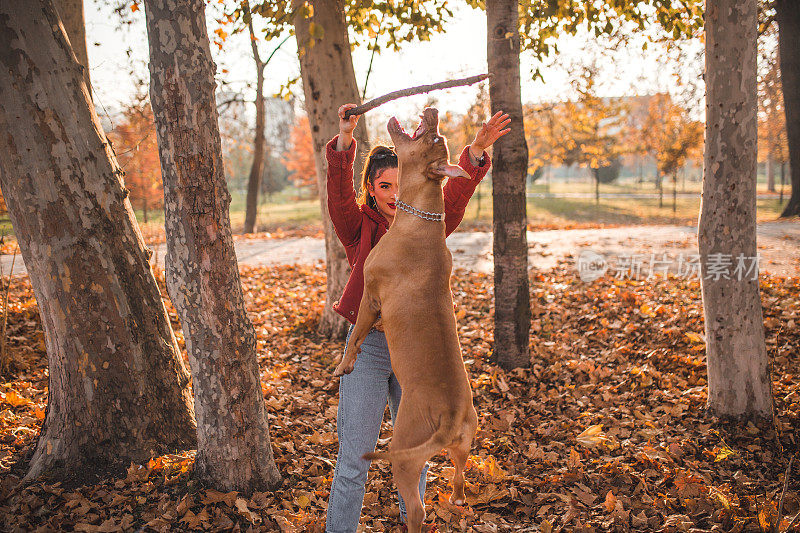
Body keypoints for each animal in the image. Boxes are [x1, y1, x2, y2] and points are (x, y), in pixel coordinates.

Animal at [332, 108, 478, 532]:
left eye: (433, 139)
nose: (433, 111)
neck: (420, 218)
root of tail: (450, 417)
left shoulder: (370, 295)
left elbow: (358, 334)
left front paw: (345, 365)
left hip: (406, 453)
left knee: (417, 509)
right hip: (465, 443)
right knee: (460, 478)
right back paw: (456, 498)